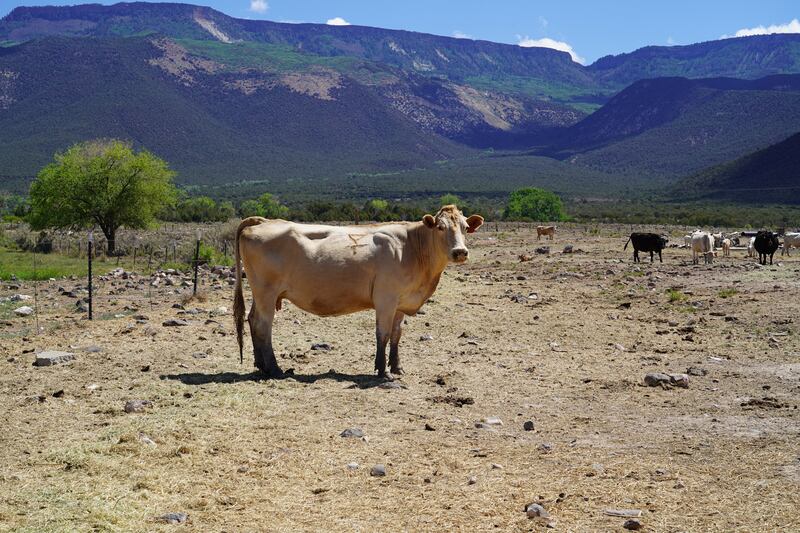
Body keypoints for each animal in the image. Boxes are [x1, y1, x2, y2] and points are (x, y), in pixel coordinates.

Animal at [231, 205, 482, 378]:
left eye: (465, 228)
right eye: (440, 227)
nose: (460, 252)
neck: (411, 247)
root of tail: (263, 221)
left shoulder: (401, 301)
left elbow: (397, 335)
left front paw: (397, 366)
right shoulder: (386, 298)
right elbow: (383, 334)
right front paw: (382, 371)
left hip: (260, 294)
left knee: (252, 319)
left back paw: (261, 366)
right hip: (266, 292)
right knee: (263, 325)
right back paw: (274, 368)